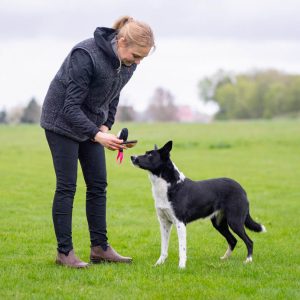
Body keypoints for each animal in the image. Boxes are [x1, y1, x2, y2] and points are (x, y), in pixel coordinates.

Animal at [130, 142, 266, 268]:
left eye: (150, 155)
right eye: (146, 153)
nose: (132, 157)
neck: (169, 185)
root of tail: (242, 189)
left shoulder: (180, 223)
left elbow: (182, 248)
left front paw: (181, 267)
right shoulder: (164, 223)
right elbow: (164, 248)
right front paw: (158, 264)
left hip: (235, 221)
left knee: (249, 241)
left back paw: (248, 260)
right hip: (218, 223)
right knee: (233, 240)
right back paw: (224, 258)